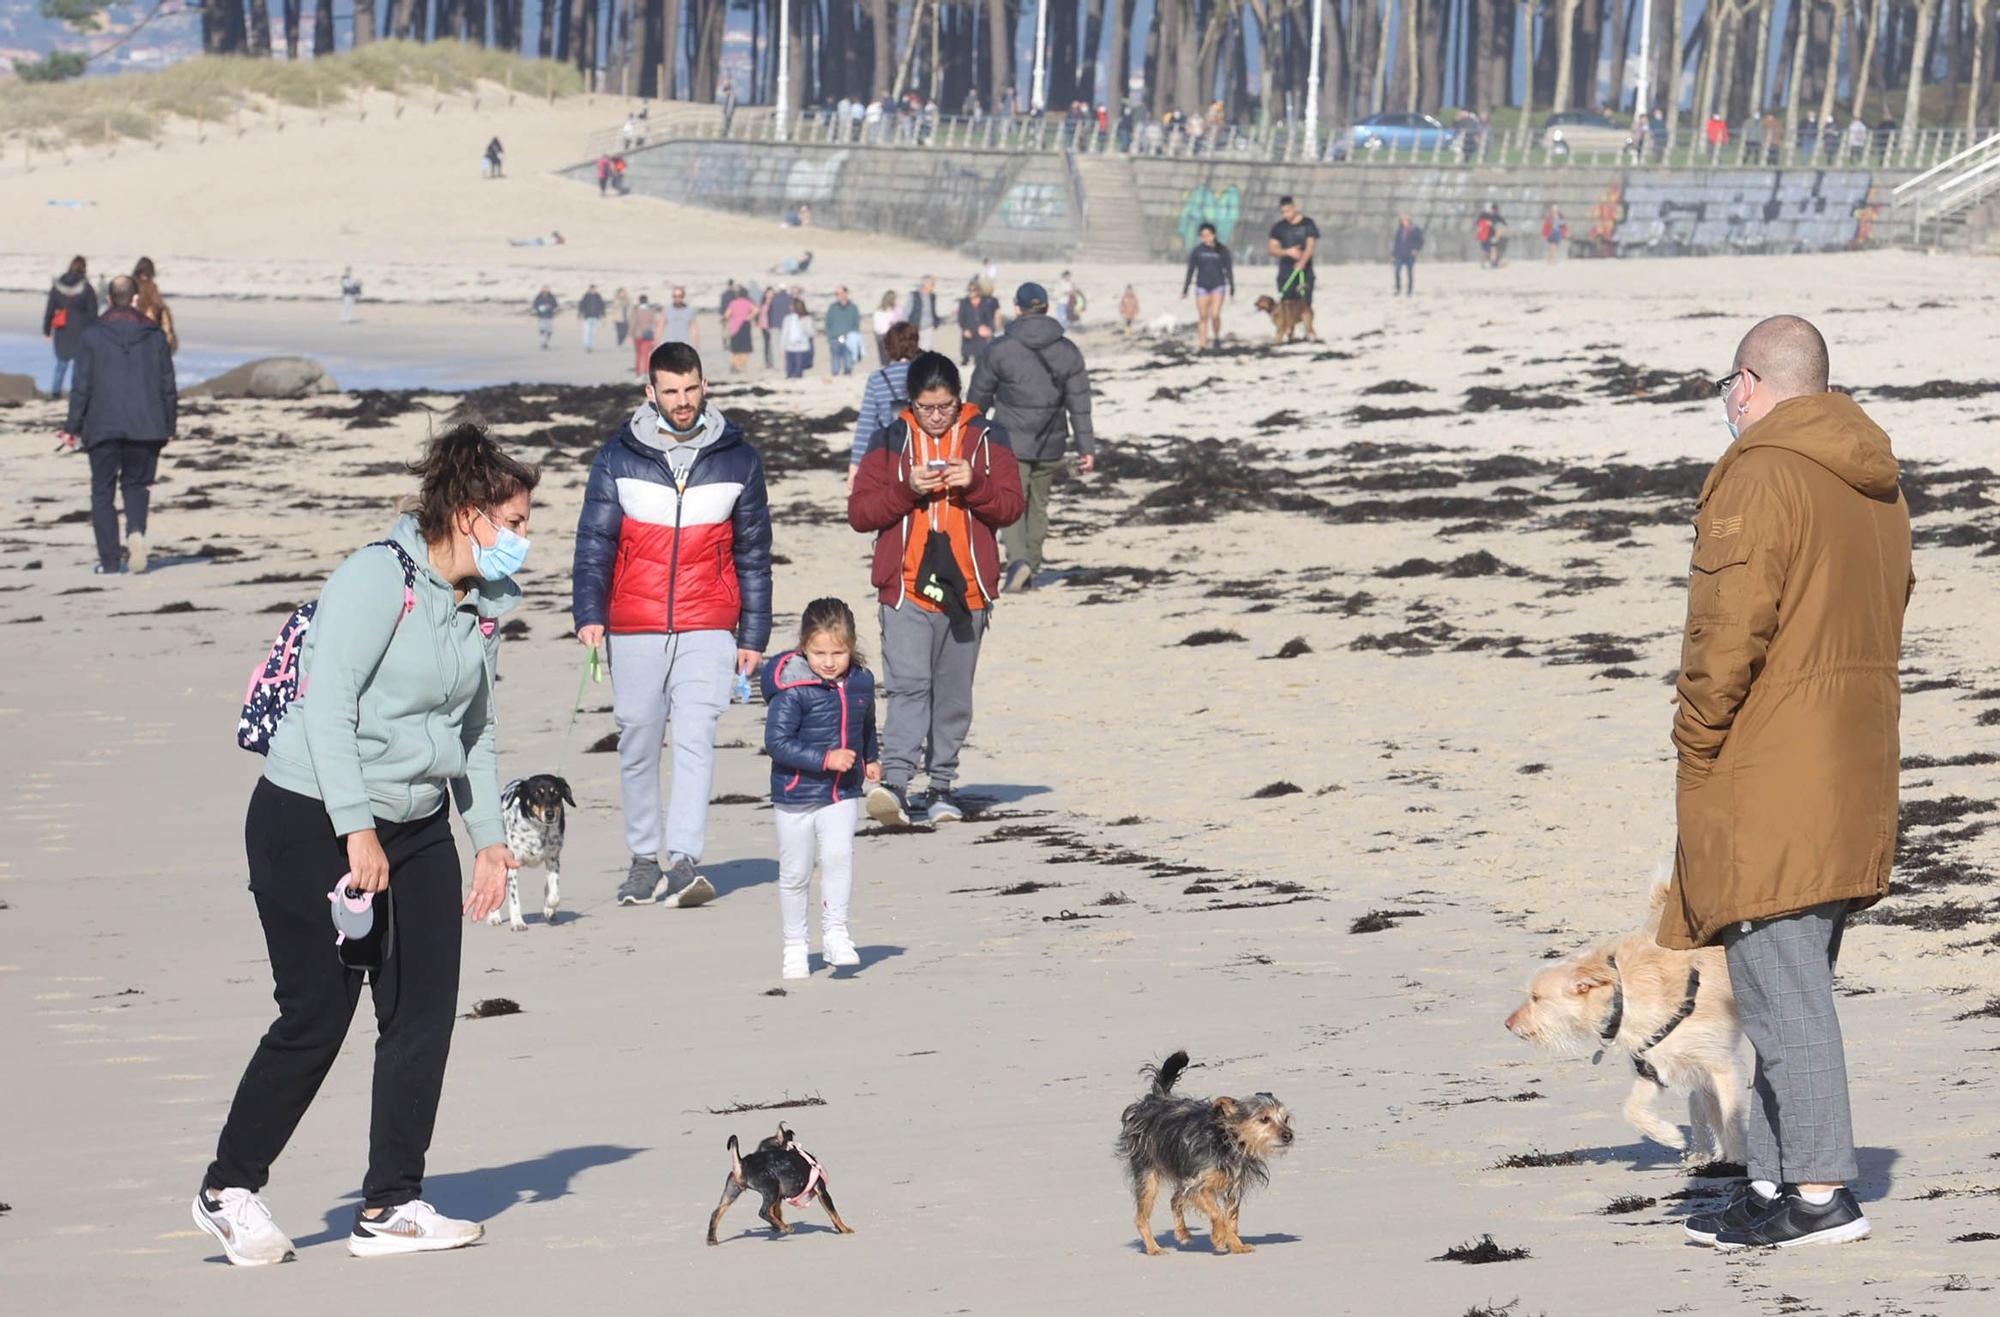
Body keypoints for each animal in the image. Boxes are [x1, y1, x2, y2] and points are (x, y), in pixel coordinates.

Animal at [490, 772, 576, 928]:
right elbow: (514, 898)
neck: (538, 830)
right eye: (536, 793)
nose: (549, 814)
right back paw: (493, 916)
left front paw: (549, 907)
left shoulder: (553, 860)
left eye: (556, 793)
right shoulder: (512, 865)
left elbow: (554, 892)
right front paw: (517, 922)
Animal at [708, 1120, 856, 1240]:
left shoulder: (779, 1196)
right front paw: (844, 1229)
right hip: (771, 1188)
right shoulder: (821, 1191)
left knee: (716, 1212)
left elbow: (777, 1211)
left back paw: (712, 1239)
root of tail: (741, 1164)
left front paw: (776, 1226)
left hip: (732, 1192)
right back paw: (786, 1227)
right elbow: (833, 1213)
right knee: (763, 1212)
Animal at [1112, 1048, 1296, 1248]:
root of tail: (1156, 1099)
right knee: (1142, 1217)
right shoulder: (1196, 1185)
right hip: (1148, 1173)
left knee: (1174, 1200)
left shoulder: (1232, 1187)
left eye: (1285, 1119)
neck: (1227, 1142)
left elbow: (1231, 1218)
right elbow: (1218, 1213)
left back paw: (1182, 1233)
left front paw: (1237, 1245)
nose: (1289, 1135)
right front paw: (1221, 1237)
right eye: (1264, 1119)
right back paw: (1154, 1249)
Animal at [1504, 872, 1744, 1160]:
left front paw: (1738, 1159)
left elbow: (1731, 1121)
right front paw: (1668, 1135)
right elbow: (1631, 1110)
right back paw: (1700, 1153)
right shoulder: (1653, 1067)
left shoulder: (1718, 1064)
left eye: (1536, 997)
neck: (1624, 998)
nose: (1507, 1024)